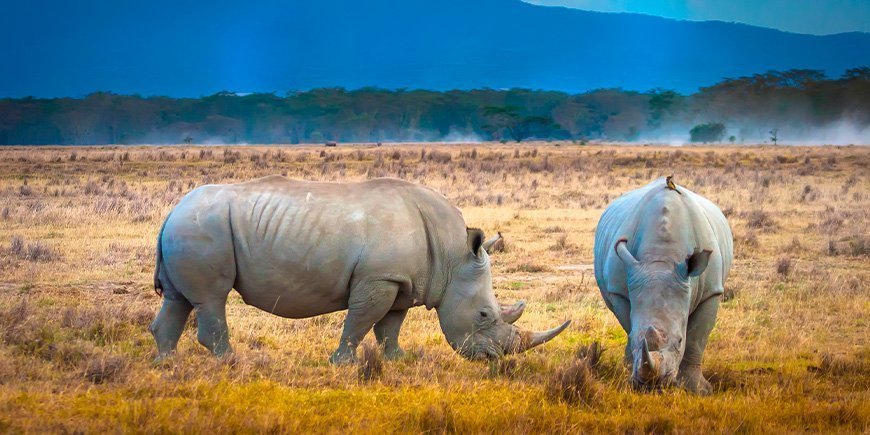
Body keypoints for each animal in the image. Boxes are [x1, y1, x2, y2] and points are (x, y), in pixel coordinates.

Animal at [151, 176, 569, 363]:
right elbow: (361, 320)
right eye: (483, 314)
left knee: (178, 299)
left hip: (188, 228)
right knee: (211, 298)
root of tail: (171, 211)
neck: (452, 256)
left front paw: (397, 359)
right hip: (202, 229)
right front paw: (344, 363)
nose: (494, 359)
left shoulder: (403, 281)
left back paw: (166, 362)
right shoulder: (378, 278)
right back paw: (230, 360)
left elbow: (390, 326)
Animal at [593, 177, 733, 394]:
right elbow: (628, 325)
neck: (661, 259)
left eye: (679, 340)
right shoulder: (619, 291)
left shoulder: (712, 292)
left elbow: (696, 339)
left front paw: (698, 390)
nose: (653, 385)